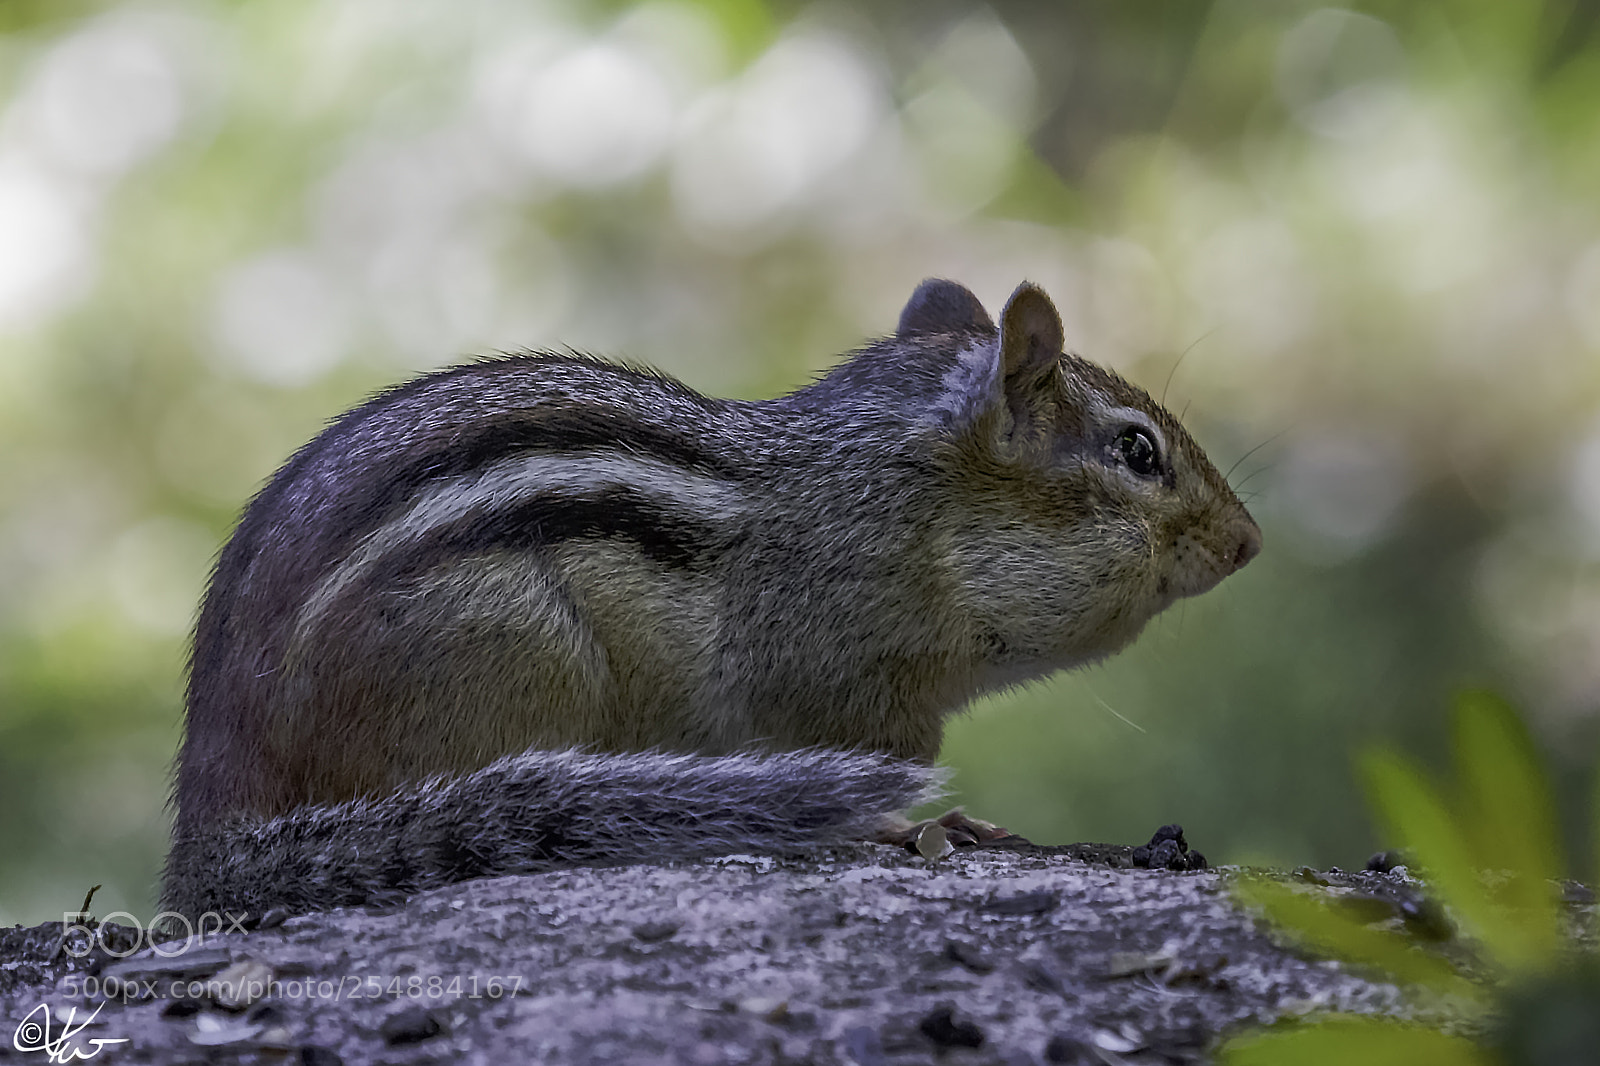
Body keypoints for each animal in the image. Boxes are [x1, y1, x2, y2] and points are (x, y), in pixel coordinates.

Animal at [160, 279, 1260, 920]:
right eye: (1138, 453)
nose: (1248, 541)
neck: (901, 511)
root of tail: (215, 811)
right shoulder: (844, 690)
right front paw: (910, 828)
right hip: (511, 652)